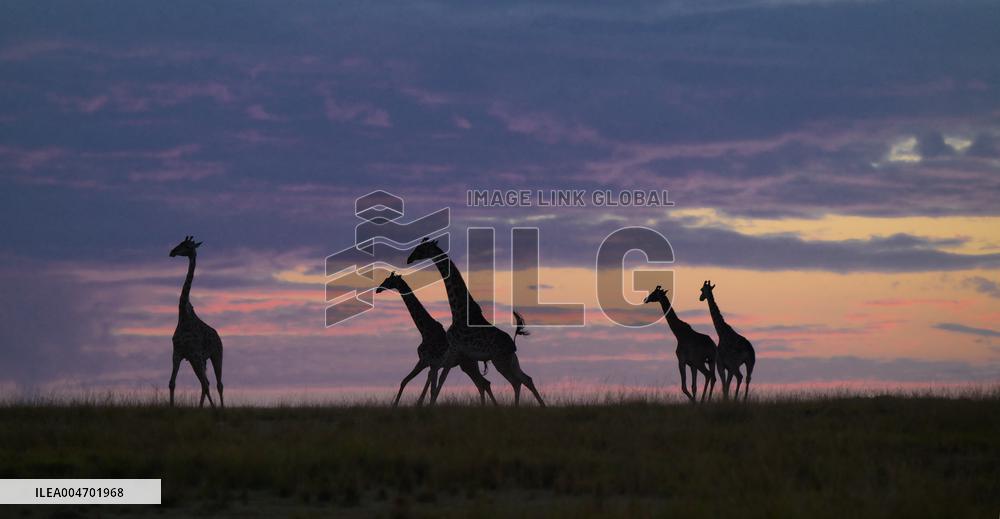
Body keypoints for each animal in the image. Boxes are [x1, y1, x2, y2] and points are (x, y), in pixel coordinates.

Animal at [168, 236, 224, 408]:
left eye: (187, 246)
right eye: (180, 243)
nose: (172, 252)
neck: (182, 316)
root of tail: (218, 336)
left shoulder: (195, 353)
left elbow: (206, 384)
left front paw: (214, 409)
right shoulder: (178, 353)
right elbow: (172, 383)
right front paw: (170, 408)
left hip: (215, 355)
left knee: (217, 384)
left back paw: (221, 408)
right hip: (198, 361)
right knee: (206, 383)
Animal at [376, 272, 498, 407]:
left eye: (388, 280)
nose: (378, 289)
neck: (425, 330)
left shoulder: (426, 361)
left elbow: (412, 383)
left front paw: (396, 405)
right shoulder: (430, 364)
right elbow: (413, 383)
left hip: (468, 365)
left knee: (483, 383)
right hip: (466, 366)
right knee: (482, 384)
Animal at [406, 238, 545, 407]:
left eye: (421, 249)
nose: (409, 259)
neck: (458, 311)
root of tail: (513, 343)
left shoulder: (455, 349)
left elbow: (441, 380)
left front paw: (430, 405)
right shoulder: (453, 351)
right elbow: (438, 377)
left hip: (500, 360)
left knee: (515, 382)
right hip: (510, 360)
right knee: (526, 379)